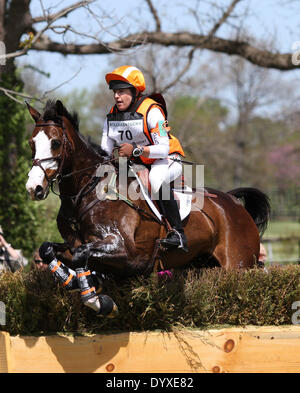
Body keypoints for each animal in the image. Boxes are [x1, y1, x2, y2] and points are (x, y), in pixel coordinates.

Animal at [25, 101, 270, 310]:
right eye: (31, 144)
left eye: (56, 143)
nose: (33, 188)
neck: (87, 192)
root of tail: (233, 203)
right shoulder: (75, 243)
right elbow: (50, 249)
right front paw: (73, 281)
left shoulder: (130, 255)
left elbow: (80, 254)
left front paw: (95, 299)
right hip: (202, 264)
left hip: (238, 265)